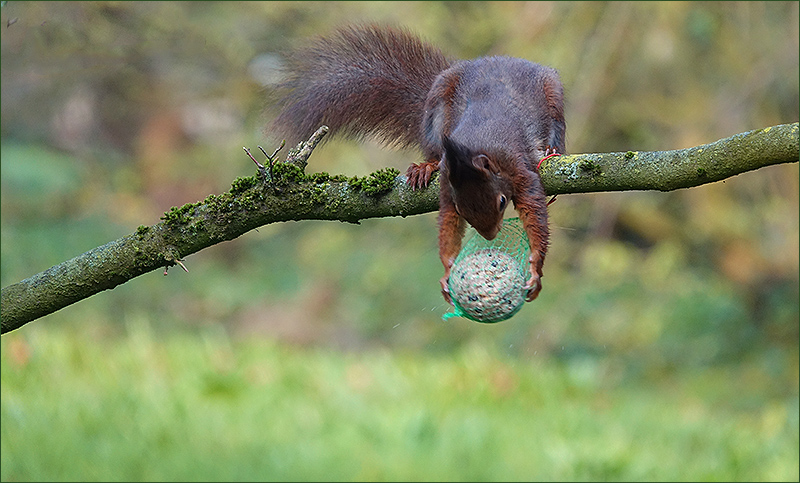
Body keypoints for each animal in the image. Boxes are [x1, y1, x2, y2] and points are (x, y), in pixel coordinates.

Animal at [272, 24, 564, 304]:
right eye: (462, 207)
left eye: (503, 202)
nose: (490, 235)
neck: (474, 148)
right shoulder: (449, 182)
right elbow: (447, 222)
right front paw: (447, 270)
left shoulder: (518, 170)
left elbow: (532, 209)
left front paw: (536, 268)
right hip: (436, 105)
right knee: (433, 148)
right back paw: (426, 166)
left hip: (552, 94)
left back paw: (552, 150)